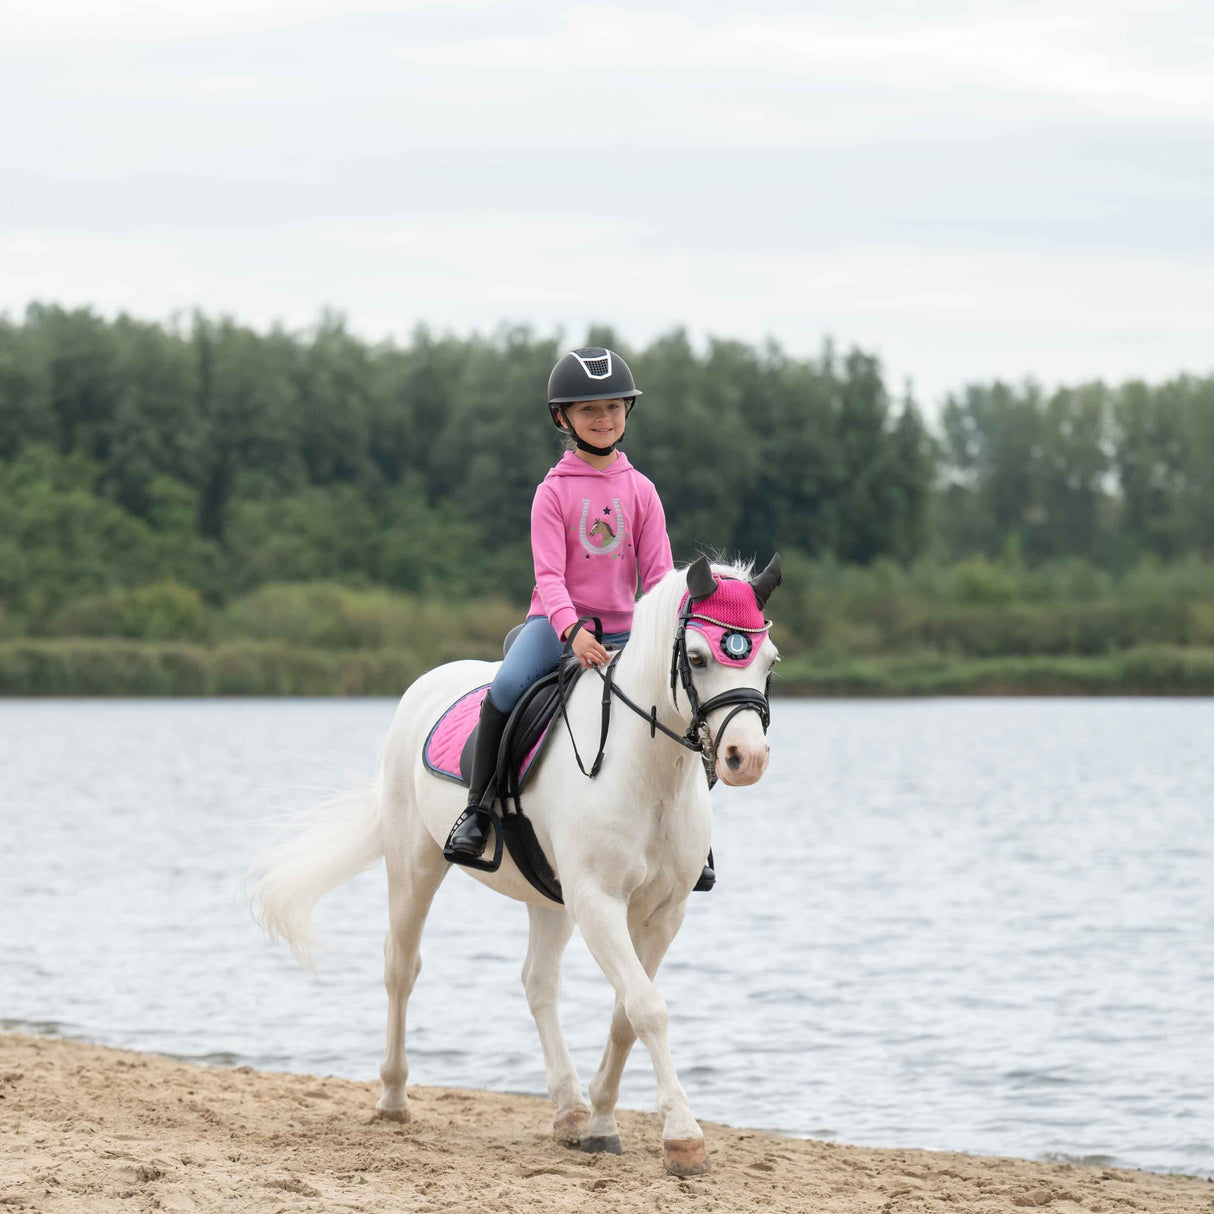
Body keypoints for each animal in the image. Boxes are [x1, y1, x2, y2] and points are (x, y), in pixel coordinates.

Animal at [251, 556, 781, 1175]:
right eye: (697, 658)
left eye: (769, 661)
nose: (747, 759)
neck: (647, 771)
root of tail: (424, 685)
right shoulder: (598, 900)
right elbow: (647, 1008)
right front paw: (683, 1138)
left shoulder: (662, 914)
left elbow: (625, 1013)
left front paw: (602, 1124)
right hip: (414, 865)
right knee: (401, 966)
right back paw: (393, 1097)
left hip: (548, 897)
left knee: (537, 983)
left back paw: (571, 1110)